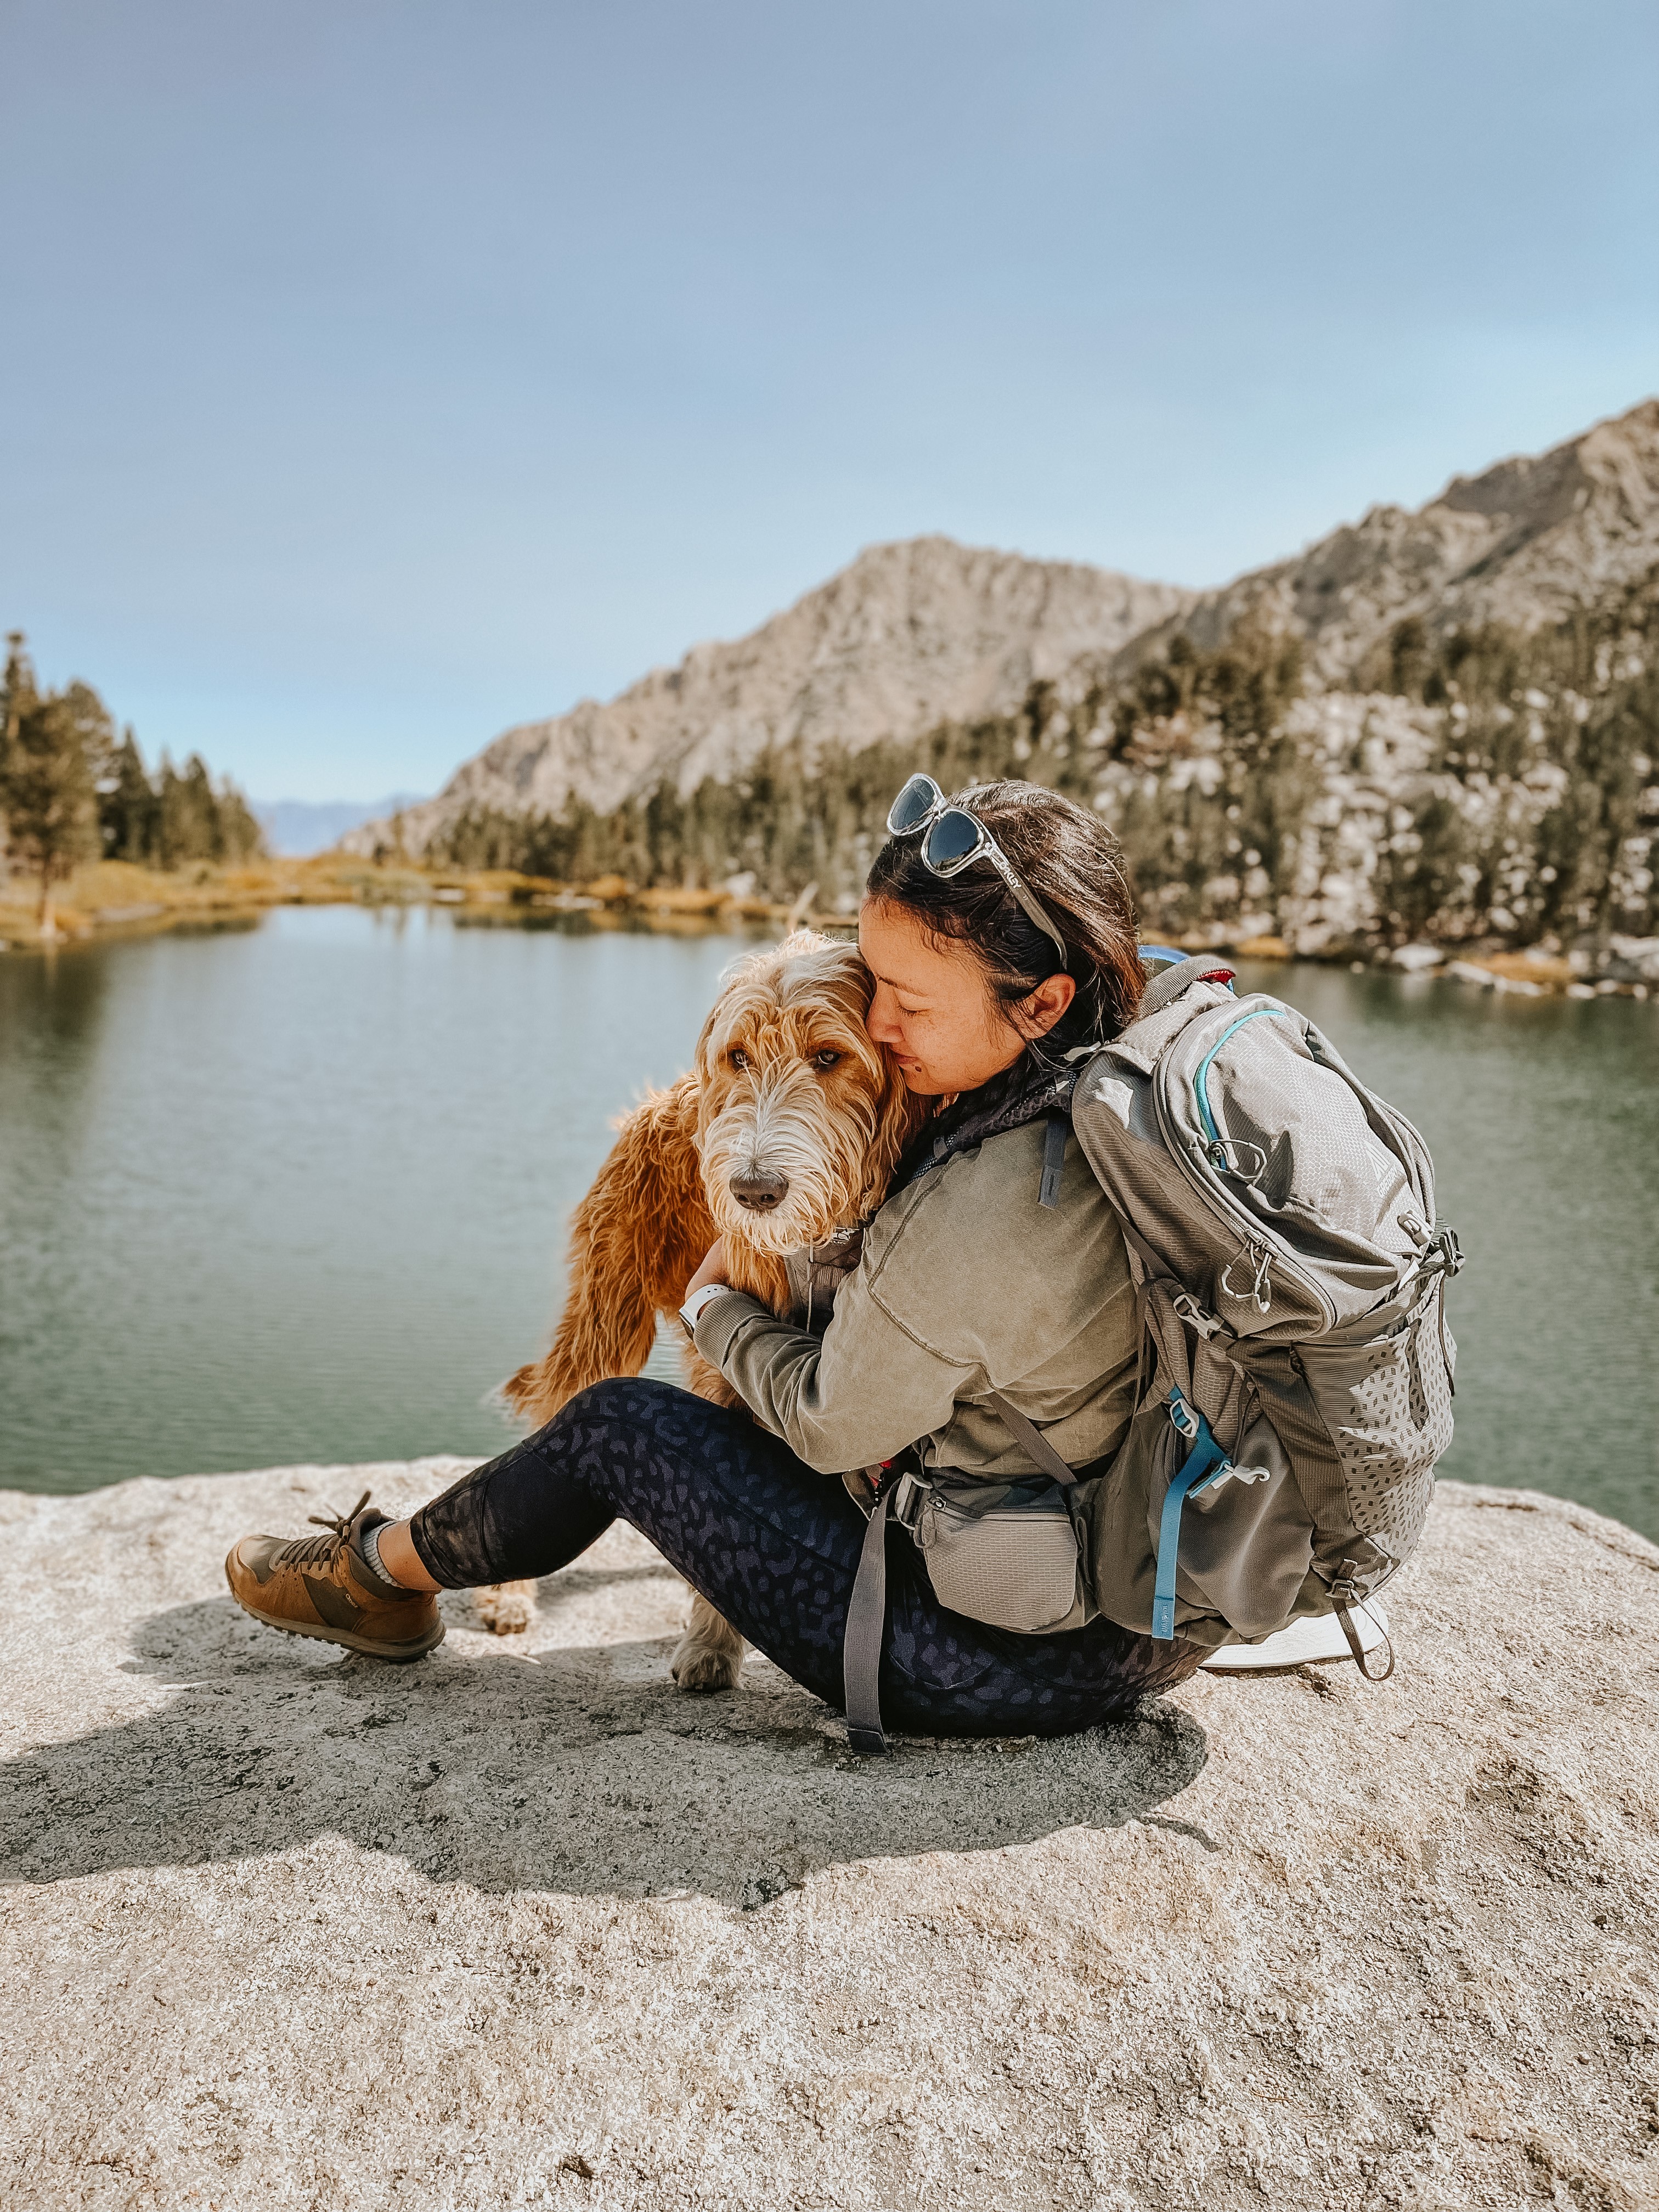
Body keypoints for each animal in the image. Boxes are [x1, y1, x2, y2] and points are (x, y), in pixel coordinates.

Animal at [479, 924, 929, 1681]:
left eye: (829, 1056)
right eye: (738, 1056)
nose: (753, 1192)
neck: (823, 1239)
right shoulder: (733, 1352)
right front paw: (713, 1642)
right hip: (609, 1311)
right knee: (559, 1403)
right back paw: (509, 1595)